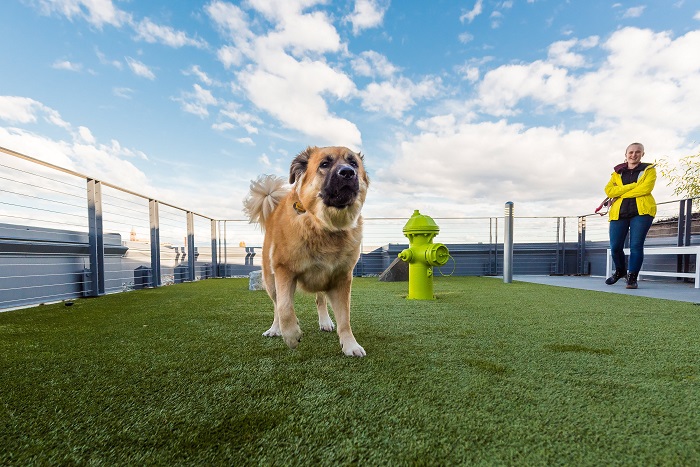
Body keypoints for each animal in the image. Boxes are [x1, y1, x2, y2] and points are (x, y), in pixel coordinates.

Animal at [243, 146, 370, 358]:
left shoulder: (341, 279)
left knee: (320, 300)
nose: (347, 173)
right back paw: (275, 329)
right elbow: (285, 307)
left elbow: (345, 319)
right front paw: (291, 335)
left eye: (353, 163)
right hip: (270, 280)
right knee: (277, 305)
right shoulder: (284, 271)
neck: (324, 226)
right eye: (325, 164)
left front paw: (350, 345)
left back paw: (325, 322)